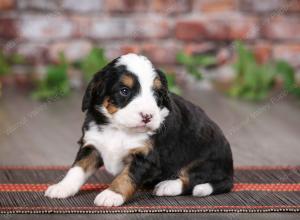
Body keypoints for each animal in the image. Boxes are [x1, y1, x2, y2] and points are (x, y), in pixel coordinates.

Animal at [44, 52, 233, 206]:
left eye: (157, 94)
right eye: (124, 91)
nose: (147, 116)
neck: (119, 128)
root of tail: (230, 174)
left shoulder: (146, 157)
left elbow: (127, 176)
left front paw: (111, 194)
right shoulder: (92, 144)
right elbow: (77, 168)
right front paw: (62, 187)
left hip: (206, 160)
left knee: (192, 179)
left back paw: (167, 186)